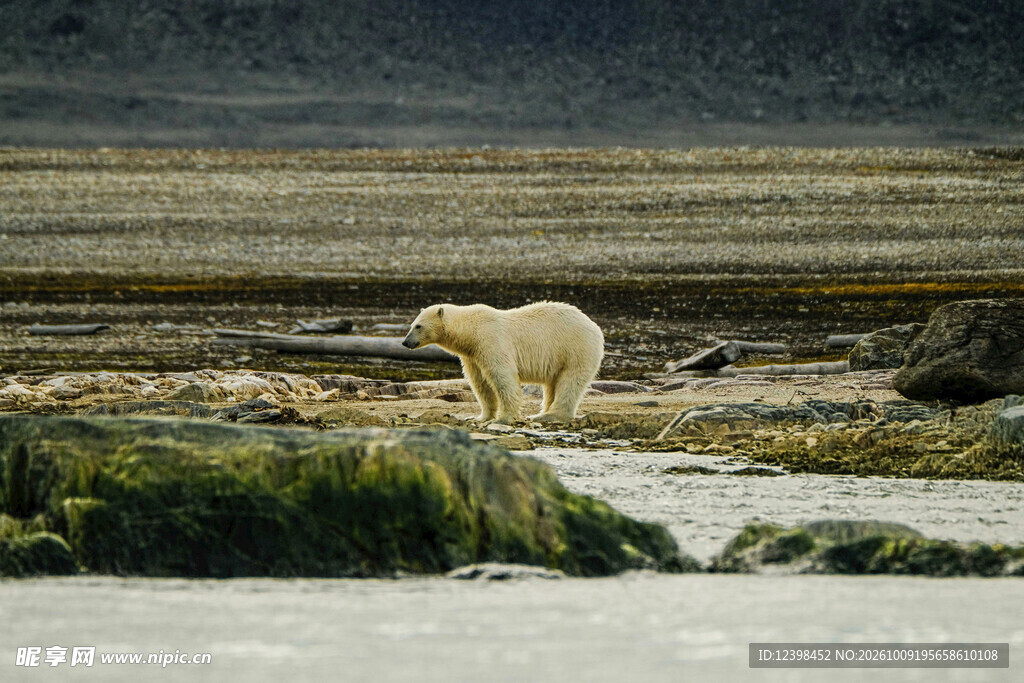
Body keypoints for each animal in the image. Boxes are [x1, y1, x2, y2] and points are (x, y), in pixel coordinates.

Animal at [402, 302, 604, 424]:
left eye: (418, 326)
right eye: (411, 325)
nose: (405, 342)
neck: (470, 330)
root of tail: (595, 327)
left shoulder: (491, 341)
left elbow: (502, 376)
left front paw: (503, 419)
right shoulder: (472, 355)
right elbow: (480, 383)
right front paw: (481, 417)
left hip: (575, 349)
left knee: (570, 381)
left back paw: (550, 415)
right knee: (552, 385)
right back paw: (541, 413)